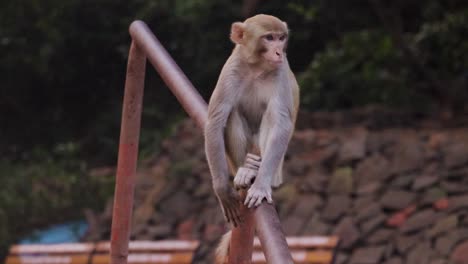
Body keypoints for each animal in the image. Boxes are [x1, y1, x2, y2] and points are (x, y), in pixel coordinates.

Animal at [205, 13, 300, 229]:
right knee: (232, 112)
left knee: (271, 117)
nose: (278, 52)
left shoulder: (281, 70)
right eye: (269, 38)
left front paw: (260, 186)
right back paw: (245, 169)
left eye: (281, 38)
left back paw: (255, 172)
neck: (257, 67)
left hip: (276, 168)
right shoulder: (232, 67)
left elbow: (280, 122)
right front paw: (222, 191)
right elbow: (216, 119)